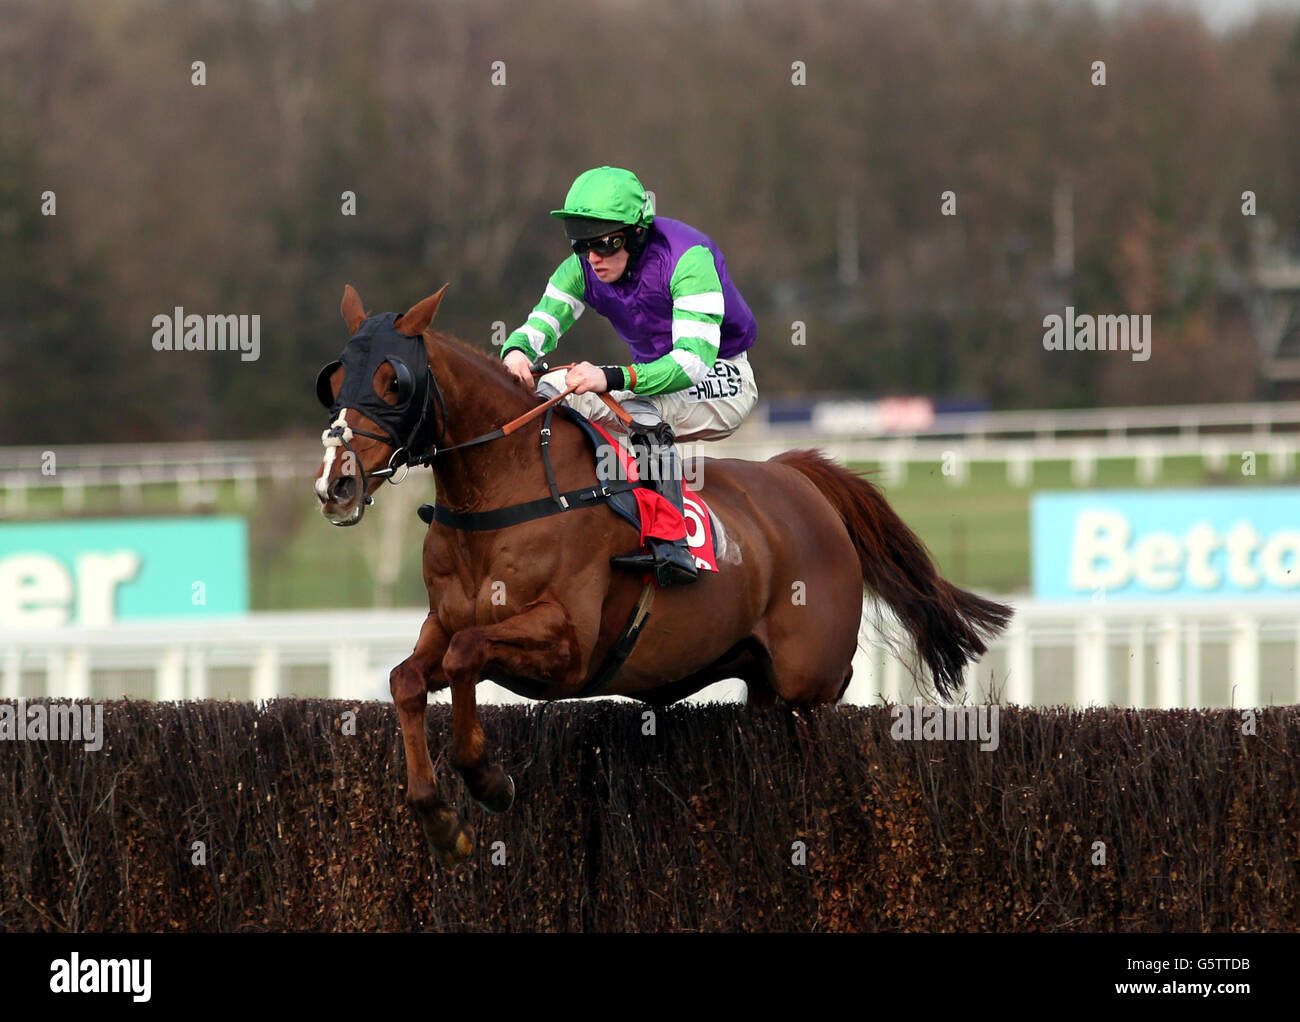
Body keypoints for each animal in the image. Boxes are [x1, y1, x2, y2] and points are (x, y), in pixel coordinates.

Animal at [314, 284, 1013, 858]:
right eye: (336, 377)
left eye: (393, 381)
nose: (335, 483)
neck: (507, 491)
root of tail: (799, 478)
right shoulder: (443, 622)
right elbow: (408, 677)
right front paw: (439, 818)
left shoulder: (569, 644)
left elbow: (466, 654)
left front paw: (488, 779)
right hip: (762, 686)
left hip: (807, 687)